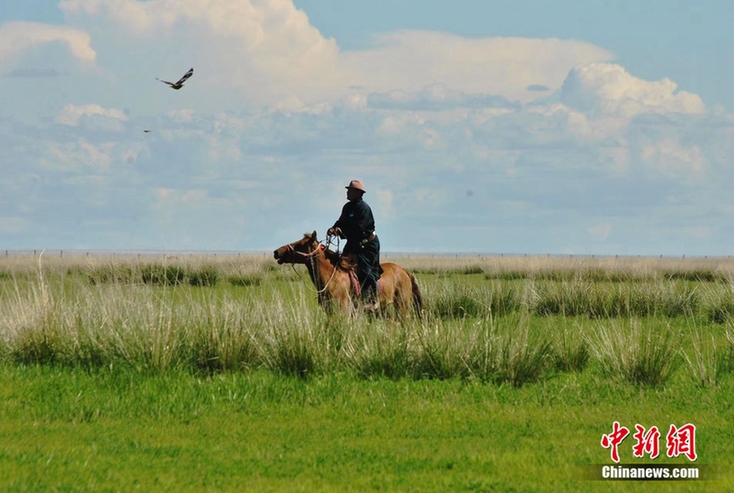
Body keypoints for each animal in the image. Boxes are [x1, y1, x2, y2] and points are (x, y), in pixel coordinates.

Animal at [274, 229, 426, 318]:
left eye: (300, 244)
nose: (277, 252)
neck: (333, 277)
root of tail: (403, 271)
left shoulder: (341, 311)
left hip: (402, 305)